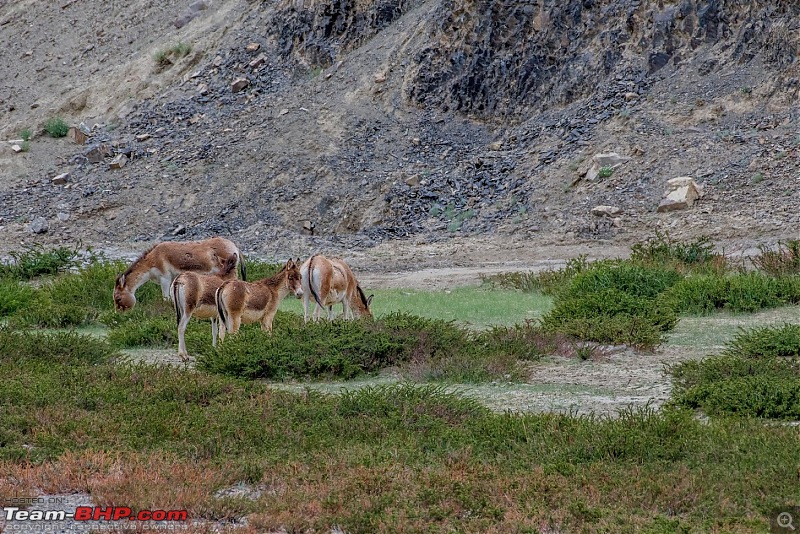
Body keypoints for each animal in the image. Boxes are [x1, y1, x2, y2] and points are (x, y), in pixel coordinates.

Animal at [112, 237, 244, 312]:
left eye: (118, 298)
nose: (119, 314)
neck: (153, 258)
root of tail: (235, 246)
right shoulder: (173, 280)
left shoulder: (165, 278)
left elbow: (165, 298)